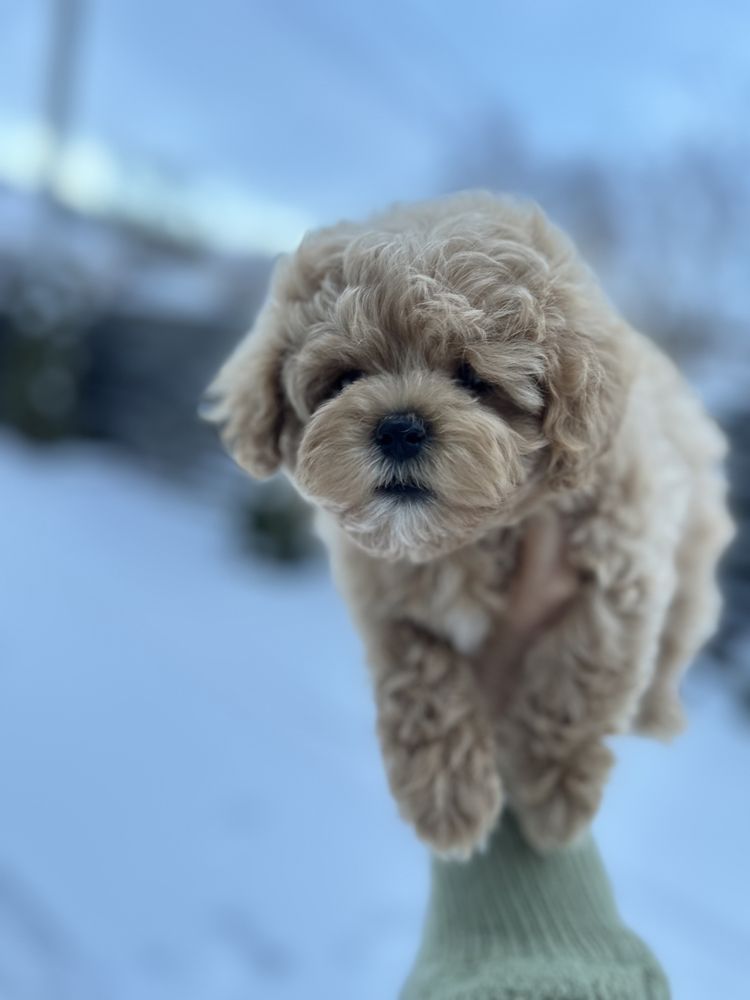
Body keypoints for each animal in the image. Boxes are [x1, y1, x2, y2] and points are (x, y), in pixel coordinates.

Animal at [204, 197, 736, 860]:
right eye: (345, 378)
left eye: (474, 378)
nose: (399, 427)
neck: (468, 542)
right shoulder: (384, 596)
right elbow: (419, 678)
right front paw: (447, 801)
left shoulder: (621, 556)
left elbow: (580, 670)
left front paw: (555, 792)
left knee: (677, 641)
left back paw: (658, 711)